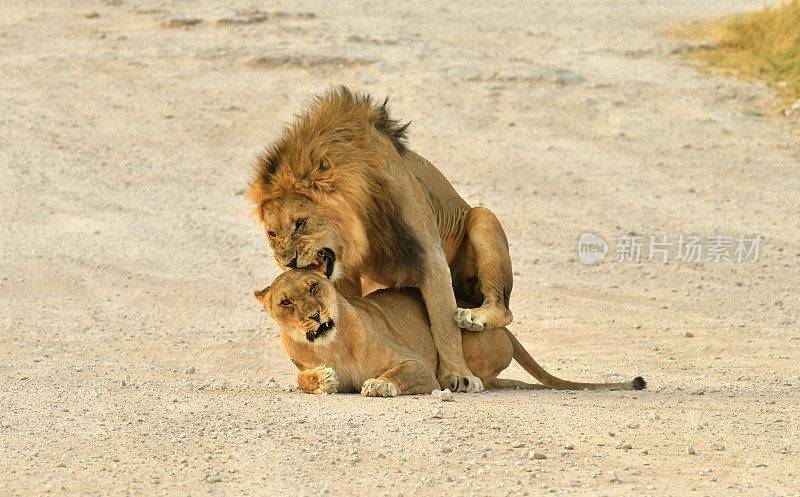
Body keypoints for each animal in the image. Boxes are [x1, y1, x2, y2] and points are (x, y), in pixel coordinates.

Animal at [247, 87, 516, 394]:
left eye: (300, 222)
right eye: (272, 234)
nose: (288, 262)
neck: (361, 228)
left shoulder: (428, 255)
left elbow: (444, 326)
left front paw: (458, 375)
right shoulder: (346, 275)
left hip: (483, 218)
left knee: (504, 310)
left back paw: (475, 317)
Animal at [253, 268, 648, 396]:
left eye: (314, 286)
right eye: (285, 302)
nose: (314, 314)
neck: (329, 346)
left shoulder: (415, 364)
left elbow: (399, 373)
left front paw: (379, 385)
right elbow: (301, 378)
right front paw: (322, 379)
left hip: (467, 335)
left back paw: (462, 381)